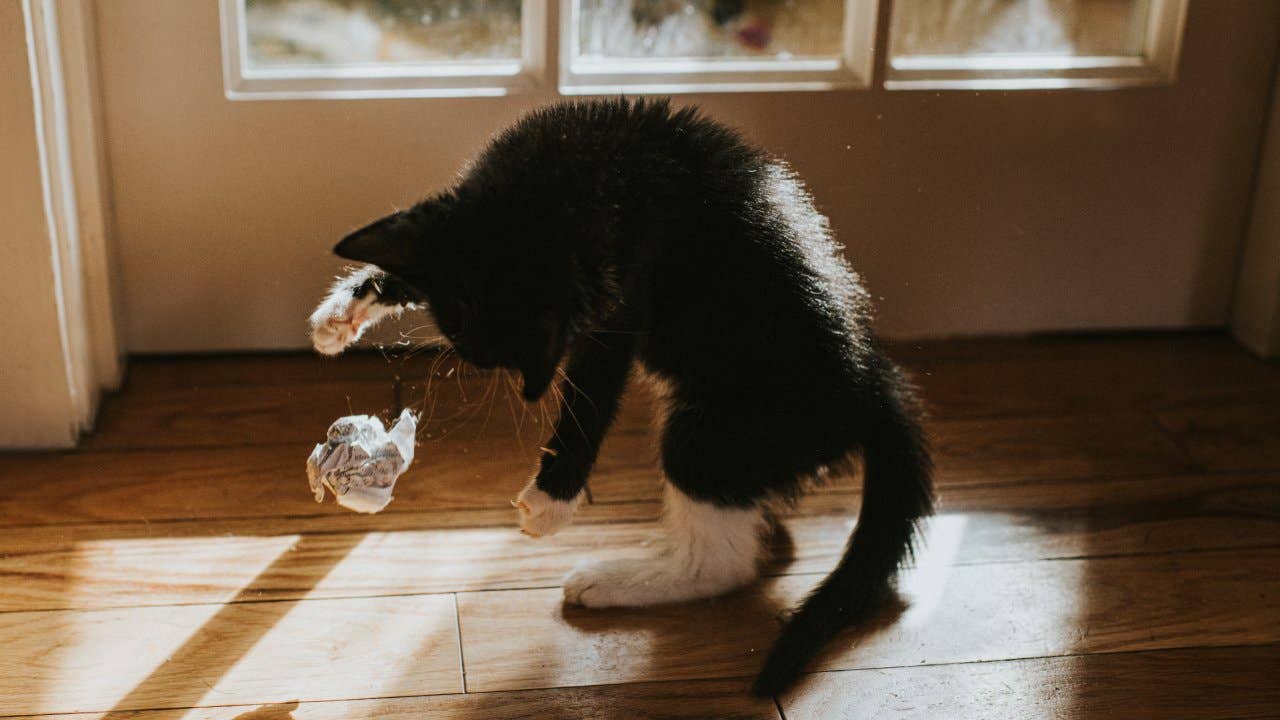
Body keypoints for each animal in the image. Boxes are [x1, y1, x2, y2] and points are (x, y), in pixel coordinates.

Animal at [309, 98, 931, 691]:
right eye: (460, 321)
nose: (489, 363)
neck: (589, 170)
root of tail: (873, 384)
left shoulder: (623, 295)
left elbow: (593, 391)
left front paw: (551, 499)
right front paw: (343, 313)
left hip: (721, 430)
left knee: (723, 557)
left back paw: (616, 580)